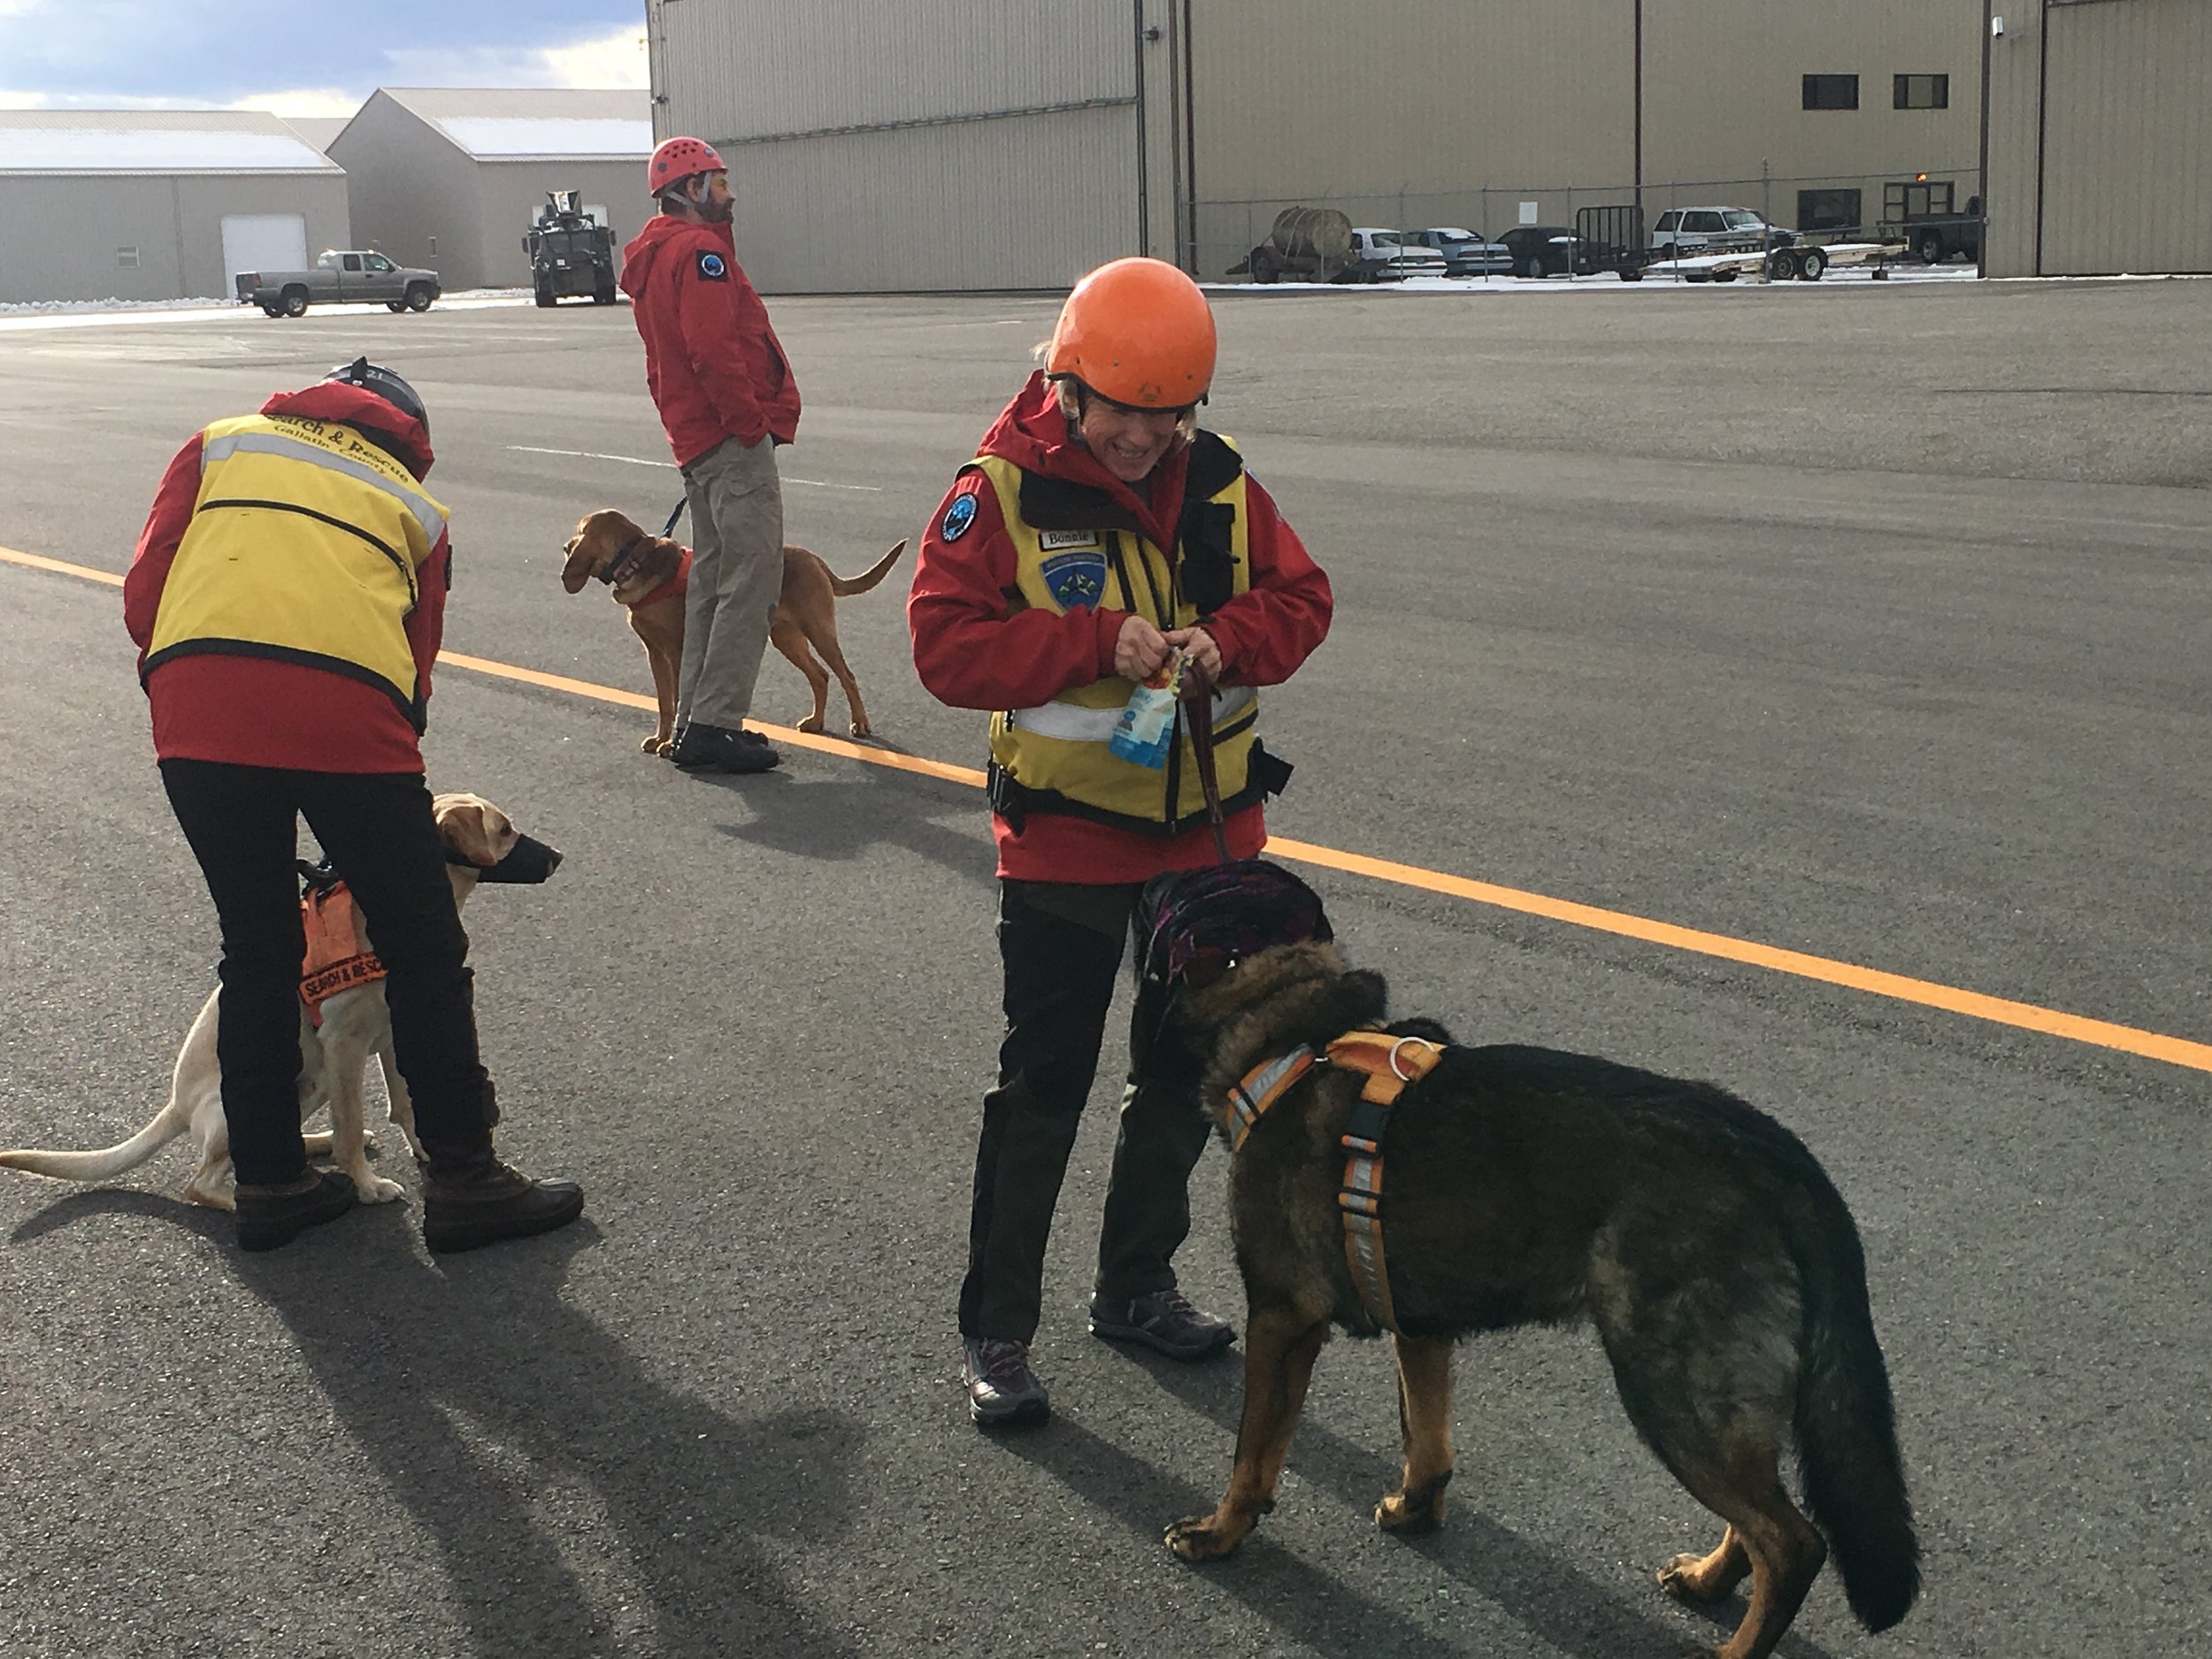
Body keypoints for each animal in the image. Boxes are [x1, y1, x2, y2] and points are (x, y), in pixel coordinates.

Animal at [0, 801, 549, 1212]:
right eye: (504, 831)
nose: (558, 856)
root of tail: (177, 1108)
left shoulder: (394, 1035)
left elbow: (408, 1105)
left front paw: (428, 1155)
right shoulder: (345, 1047)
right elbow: (353, 1129)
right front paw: (367, 1187)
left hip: (313, 1081)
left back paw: (311, 1149)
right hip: (256, 1100)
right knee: (204, 1182)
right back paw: (261, 1200)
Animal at [562, 511, 907, 757]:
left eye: (579, 530)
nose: (565, 546)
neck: (637, 562)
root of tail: (814, 559)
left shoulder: (678, 653)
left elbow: (678, 699)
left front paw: (671, 743)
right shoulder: (655, 653)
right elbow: (664, 702)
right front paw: (660, 738)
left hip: (818, 629)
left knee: (846, 675)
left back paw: (859, 723)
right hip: (785, 637)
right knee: (820, 676)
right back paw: (816, 722)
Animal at [1141, 872, 1920, 1659]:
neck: (1294, 1034)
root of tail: (1778, 1157)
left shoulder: (1281, 1319)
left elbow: (1252, 1453)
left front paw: (1219, 1532)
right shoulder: (1420, 1327)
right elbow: (1427, 1435)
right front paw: (1417, 1508)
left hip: (1672, 1388)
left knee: (1793, 1542)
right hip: (1716, 1400)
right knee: (1765, 1521)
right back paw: (1709, 1579)